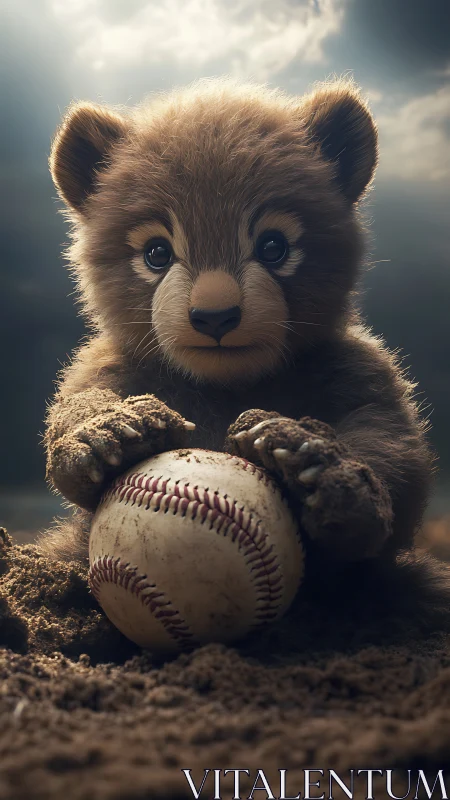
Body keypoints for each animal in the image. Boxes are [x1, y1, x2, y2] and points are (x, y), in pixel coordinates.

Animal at [40, 77, 433, 574]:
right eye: (156, 253)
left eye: (273, 247)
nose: (215, 315)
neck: (225, 386)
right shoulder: (108, 364)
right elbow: (79, 403)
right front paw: (108, 431)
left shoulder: (361, 370)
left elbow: (395, 453)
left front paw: (319, 467)